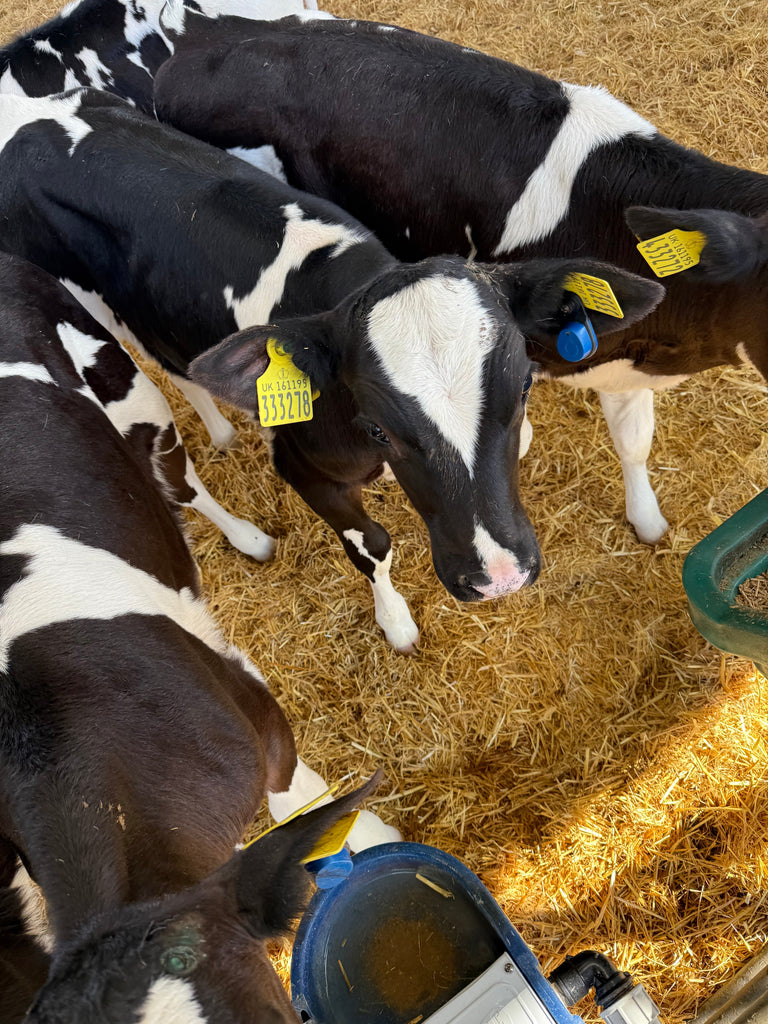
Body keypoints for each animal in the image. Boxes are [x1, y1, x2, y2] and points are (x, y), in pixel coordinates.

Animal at [0, 88, 664, 647]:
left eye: (523, 386)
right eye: (376, 427)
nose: (497, 576)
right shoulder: (303, 467)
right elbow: (372, 546)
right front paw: (396, 623)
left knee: (186, 367)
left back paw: (220, 430)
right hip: (85, 311)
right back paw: (245, 532)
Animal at [0, 251, 397, 1022]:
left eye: (269, 1012)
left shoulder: (251, 702)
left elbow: (297, 795)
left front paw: (369, 833)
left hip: (128, 393)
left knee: (177, 481)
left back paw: (244, 539)